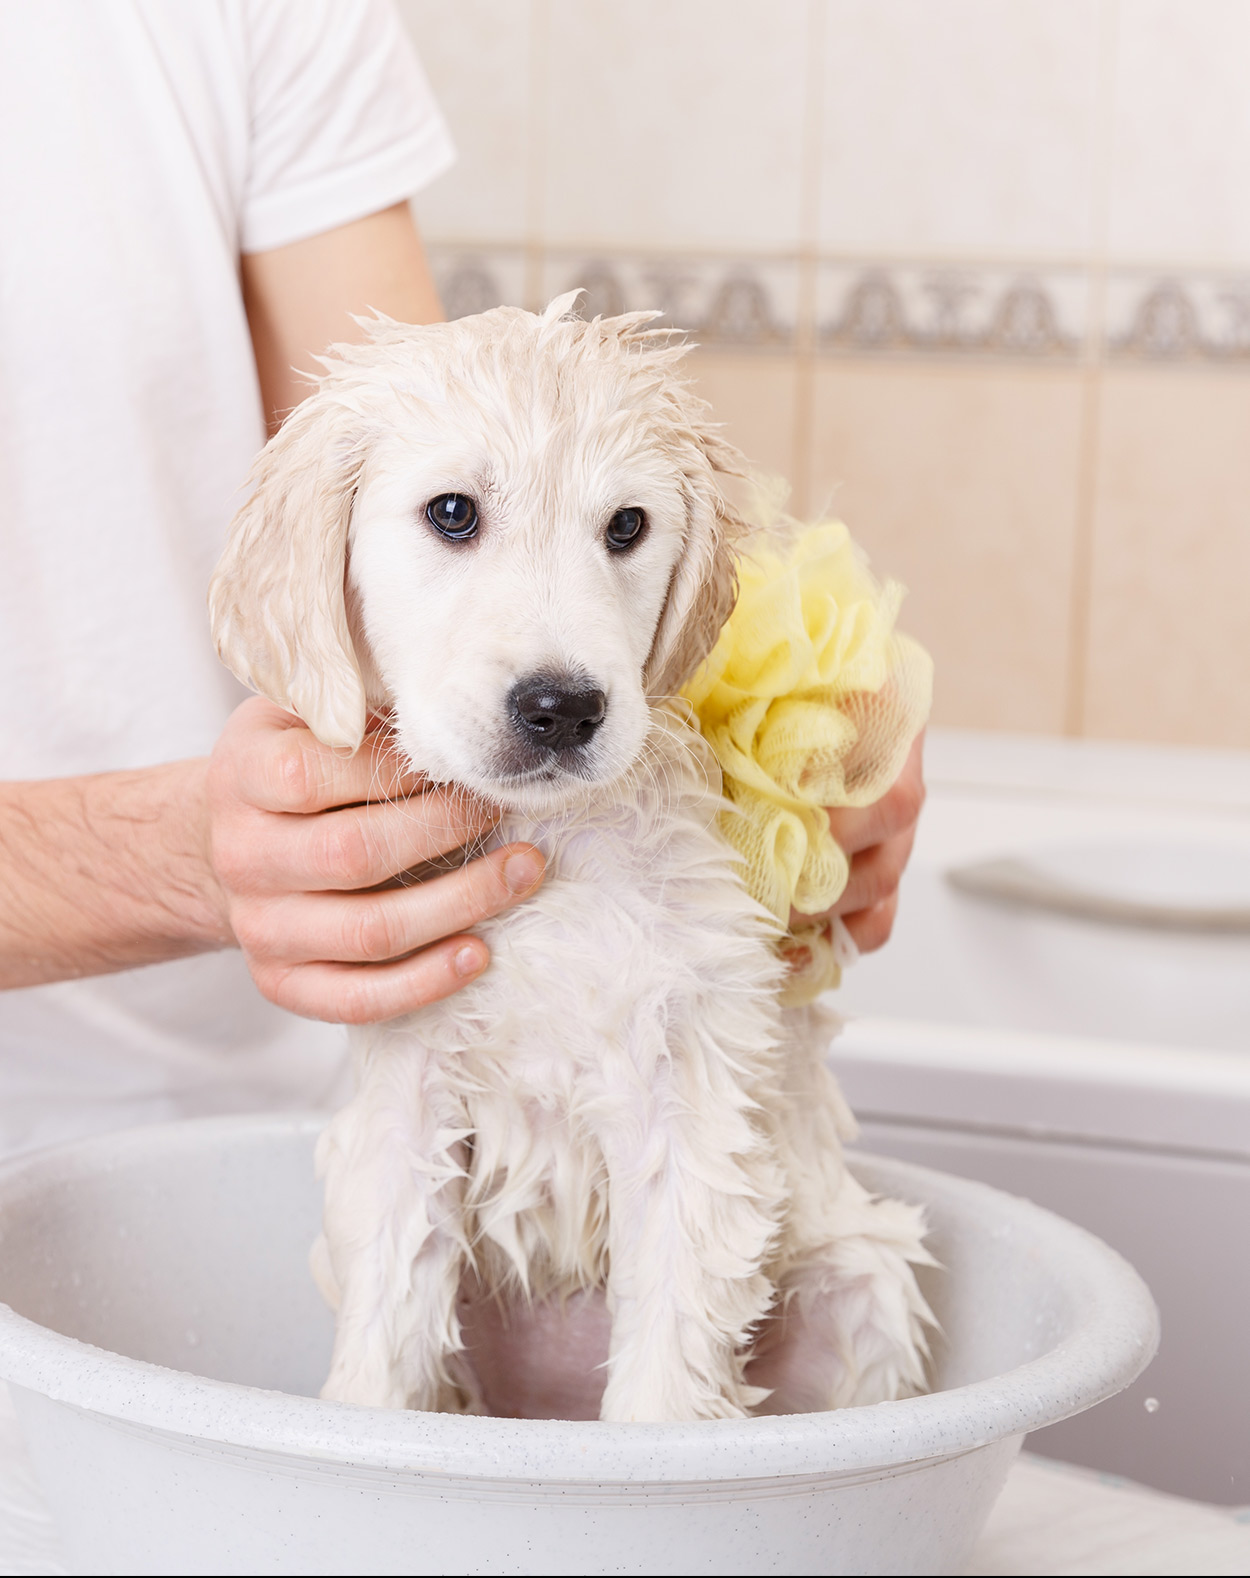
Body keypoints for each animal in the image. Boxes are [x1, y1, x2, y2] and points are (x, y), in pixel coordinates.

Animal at [209, 293, 934, 1420]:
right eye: (452, 513)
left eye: (626, 527)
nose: (561, 706)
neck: (545, 848)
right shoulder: (407, 1099)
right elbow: (384, 1331)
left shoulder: (685, 1100)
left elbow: (666, 1369)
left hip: (860, 1281)